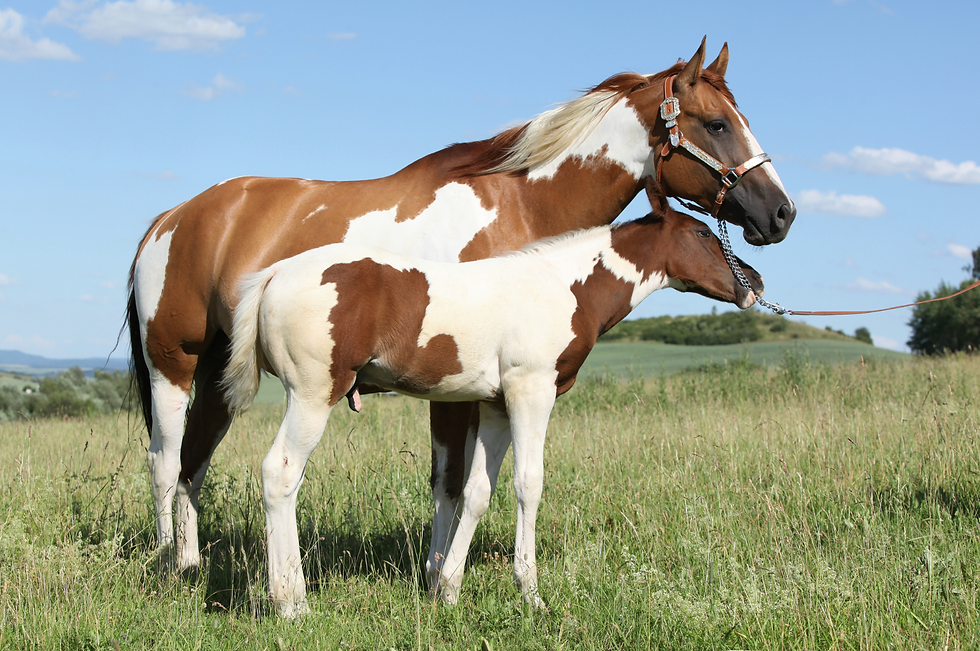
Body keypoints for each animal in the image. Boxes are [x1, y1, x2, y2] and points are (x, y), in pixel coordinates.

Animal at [218, 183, 763, 616]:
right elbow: (528, 484)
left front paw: (448, 590)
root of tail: (273, 275)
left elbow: (477, 489)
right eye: (703, 234)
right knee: (280, 473)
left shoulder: (497, 404)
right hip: (313, 393)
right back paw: (292, 602)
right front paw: (532, 594)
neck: (563, 287)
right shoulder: (532, 391)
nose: (754, 282)